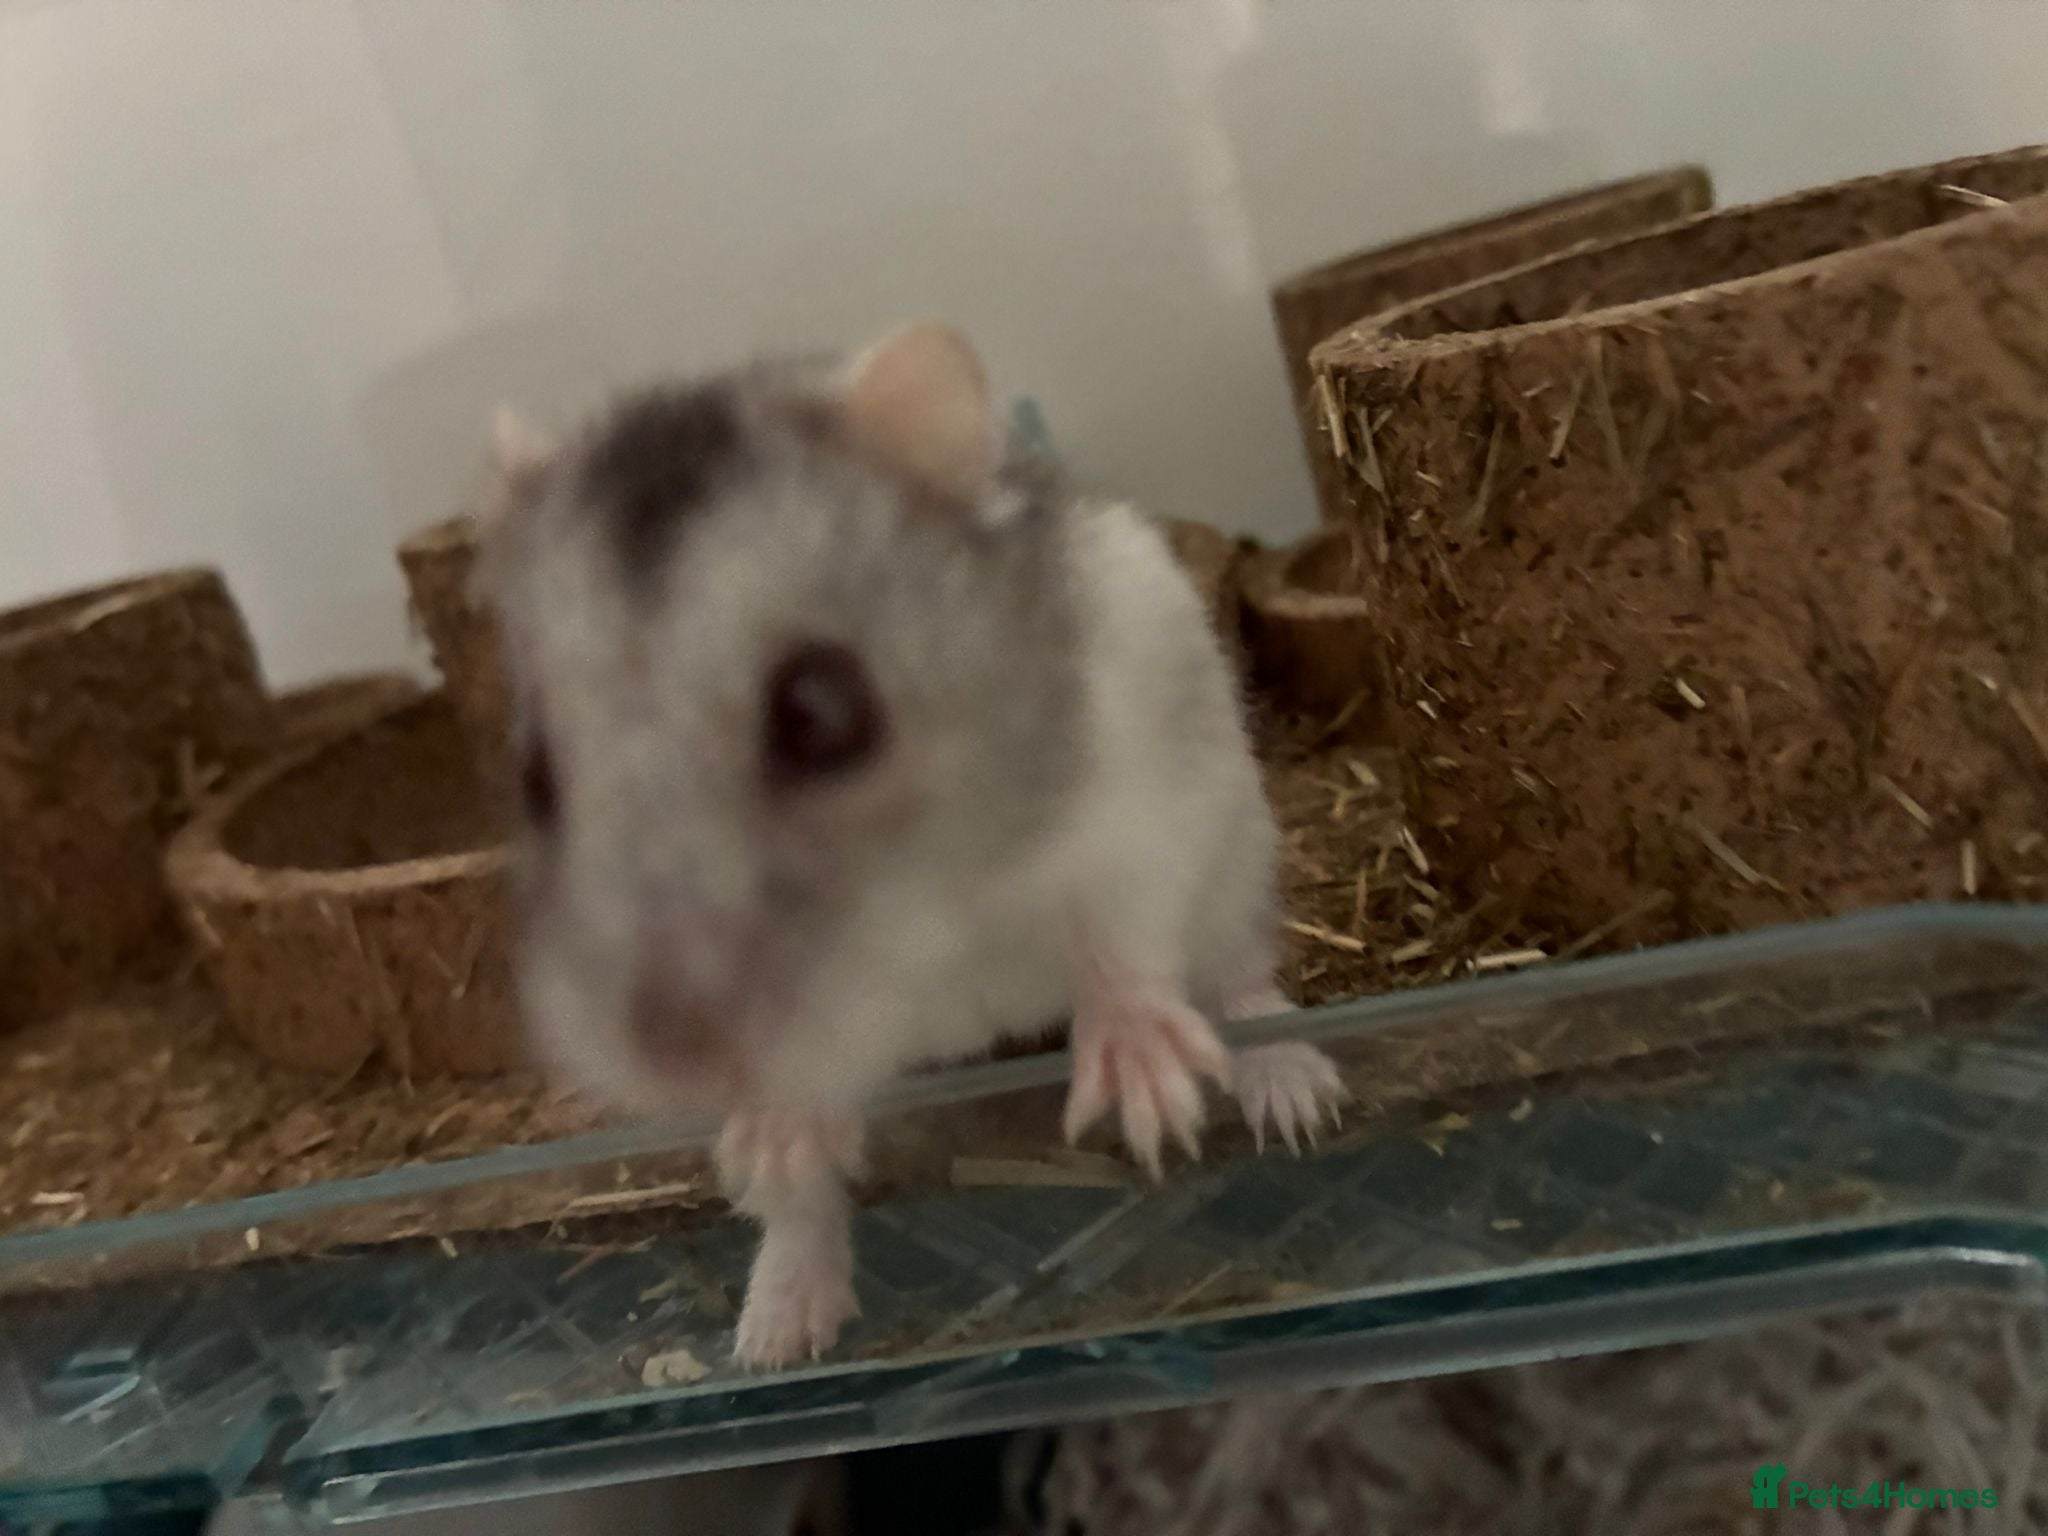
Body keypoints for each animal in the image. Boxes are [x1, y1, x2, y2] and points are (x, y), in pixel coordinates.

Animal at [475, 324, 1348, 1367]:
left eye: (821, 711)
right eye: (533, 775)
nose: (683, 1066)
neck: (925, 906)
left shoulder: (1134, 814)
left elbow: (1119, 940)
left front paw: (1152, 1103)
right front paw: (771, 1133)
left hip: (1241, 867)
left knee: (1240, 984)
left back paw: (1294, 1096)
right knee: (803, 1216)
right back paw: (775, 1329)